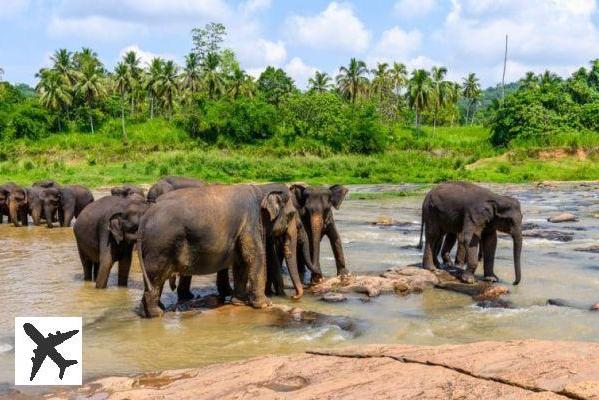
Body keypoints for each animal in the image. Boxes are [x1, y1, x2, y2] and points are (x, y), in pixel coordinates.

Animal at [138, 184, 302, 318]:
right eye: (292, 214)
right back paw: (157, 313)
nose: (294, 297)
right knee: (156, 278)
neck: (261, 189)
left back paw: (149, 311)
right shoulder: (251, 223)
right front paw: (265, 304)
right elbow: (254, 257)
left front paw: (239, 302)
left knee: (153, 280)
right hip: (160, 246)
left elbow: (241, 262)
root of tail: (144, 218)